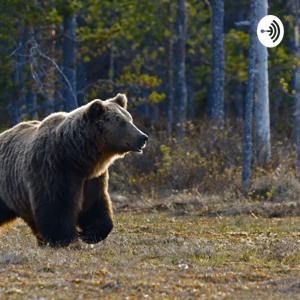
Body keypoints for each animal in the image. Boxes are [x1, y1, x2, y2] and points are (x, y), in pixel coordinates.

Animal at [0, 94, 146, 246]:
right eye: (121, 122)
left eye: (130, 119)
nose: (143, 137)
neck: (76, 157)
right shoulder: (53, 170)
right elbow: (56, 207)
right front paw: (65, 239)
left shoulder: (92, 179)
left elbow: (95, 206)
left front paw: (89, 234)